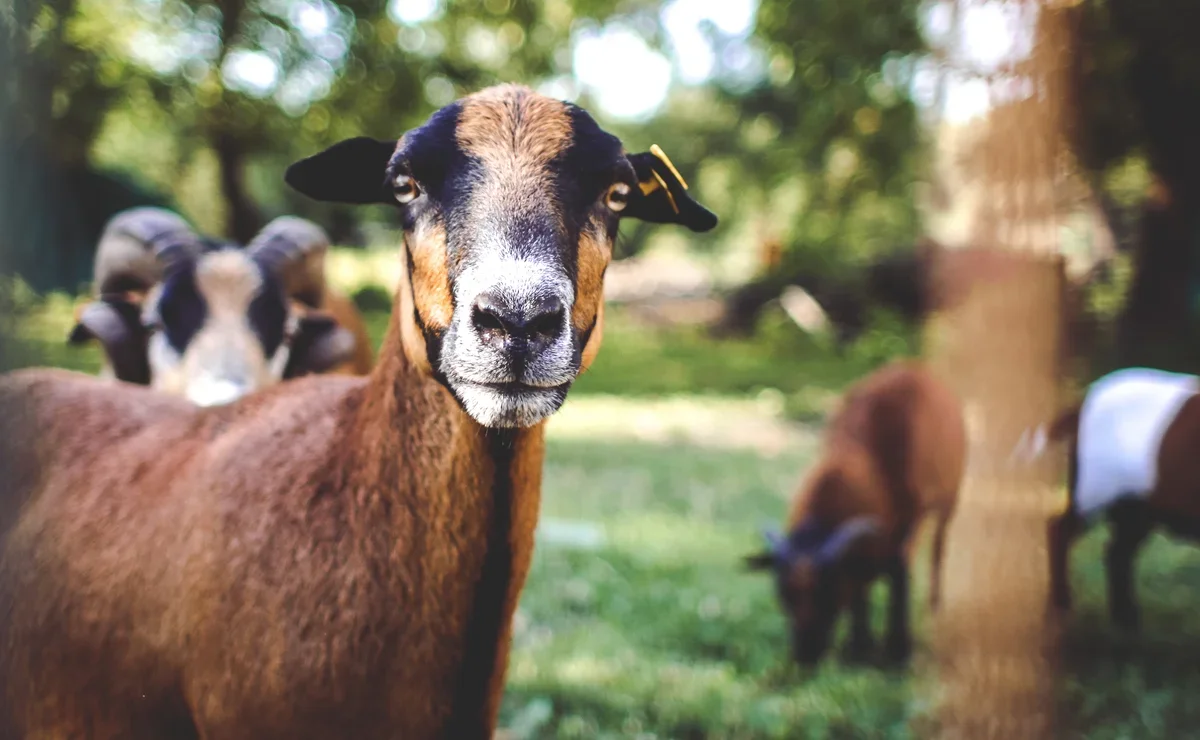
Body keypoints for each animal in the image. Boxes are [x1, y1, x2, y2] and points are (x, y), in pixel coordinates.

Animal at [739, 359, 964, 666]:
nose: (804, 655)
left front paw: (897, 650)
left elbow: (898, 579)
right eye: (784, 593)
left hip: (948, 503)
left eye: (828, 591)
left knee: (938, 551)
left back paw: (935, 606)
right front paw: (859, 647)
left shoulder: (904, 531)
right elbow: (860, 592)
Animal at [1017, 364, 1200, 628]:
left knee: (1118, 551)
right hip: (1094, 488)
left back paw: (1127, 620)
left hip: (1137, 505)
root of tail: (1083, 402)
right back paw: (1063, 605)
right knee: (1061, 528)